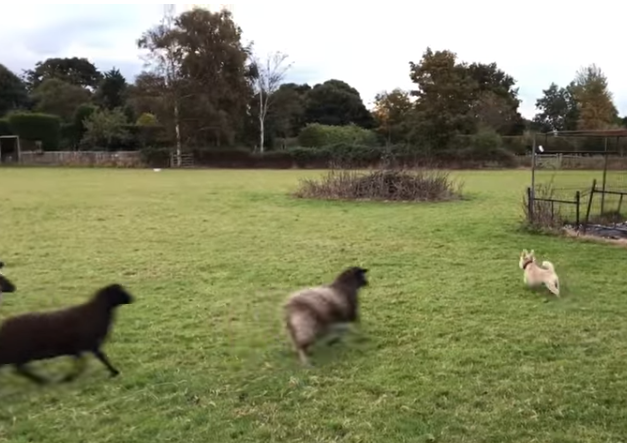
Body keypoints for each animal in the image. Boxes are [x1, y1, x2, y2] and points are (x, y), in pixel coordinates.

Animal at [0, 284, 135, 386]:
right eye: (119, 291)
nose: (132, 298)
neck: (96, 311)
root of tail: (4, 325)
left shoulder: (79, 348)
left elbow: (83, 362)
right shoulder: (90, 344)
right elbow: (99, 358)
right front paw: (114, 372)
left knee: (19, 368)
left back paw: (41, 380)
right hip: (20, 351)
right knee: (19, 368)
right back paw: (42, 380)